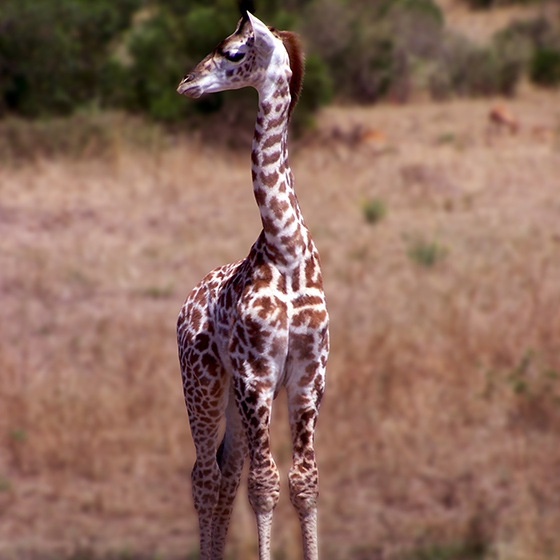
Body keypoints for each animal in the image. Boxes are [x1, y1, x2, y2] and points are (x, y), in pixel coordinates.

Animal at [176, 10, 328, 560]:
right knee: (204, 476)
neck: (286, 250)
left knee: (225, 473)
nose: (186, 82)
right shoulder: (255, 373)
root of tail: (186, 305)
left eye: (233, 52)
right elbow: (264, 485)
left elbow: (304, 482)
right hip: (205, 383)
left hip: (237, 402)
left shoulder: (308, 373)